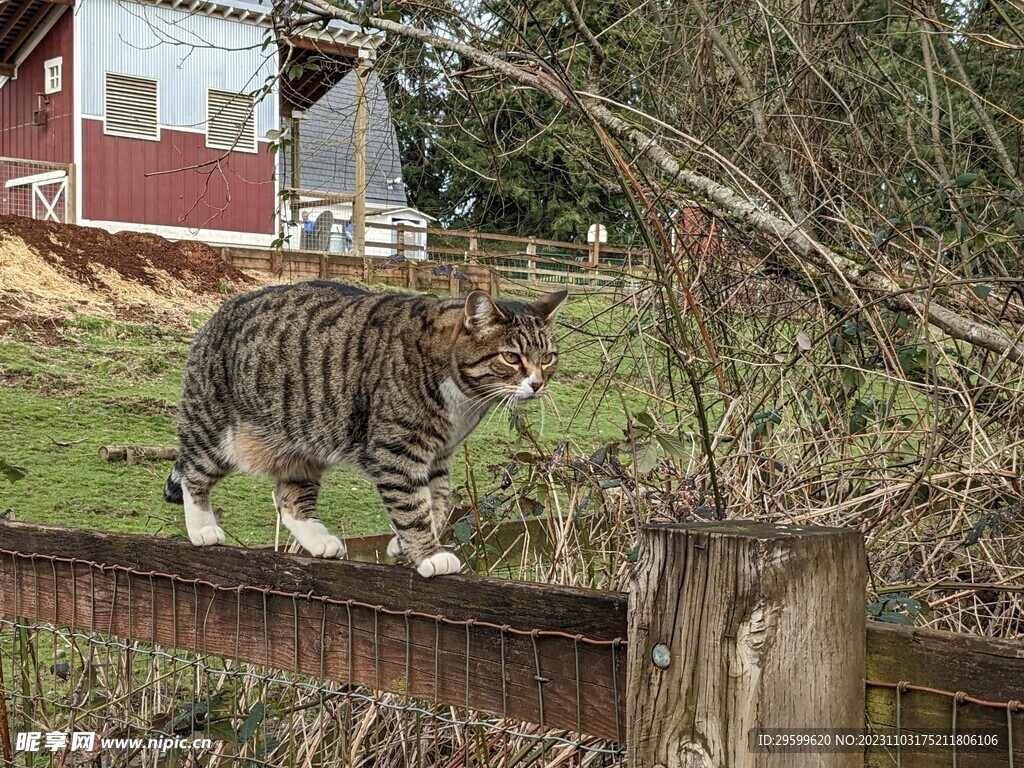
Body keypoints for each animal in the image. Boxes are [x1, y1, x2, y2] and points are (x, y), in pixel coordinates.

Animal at [166, 282, 569, 577]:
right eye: (511, 357)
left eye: (548, 358)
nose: (537, 384)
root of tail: (217, 314)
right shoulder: (397, 450)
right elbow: (412, 504)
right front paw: (429, 554)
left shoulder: (438, 455)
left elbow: (438, 502)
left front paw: (402, 545)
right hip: (216, 431)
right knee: (191, 472)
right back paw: (202, 528)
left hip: (301, 445)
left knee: (289, 500)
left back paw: (319, 540)